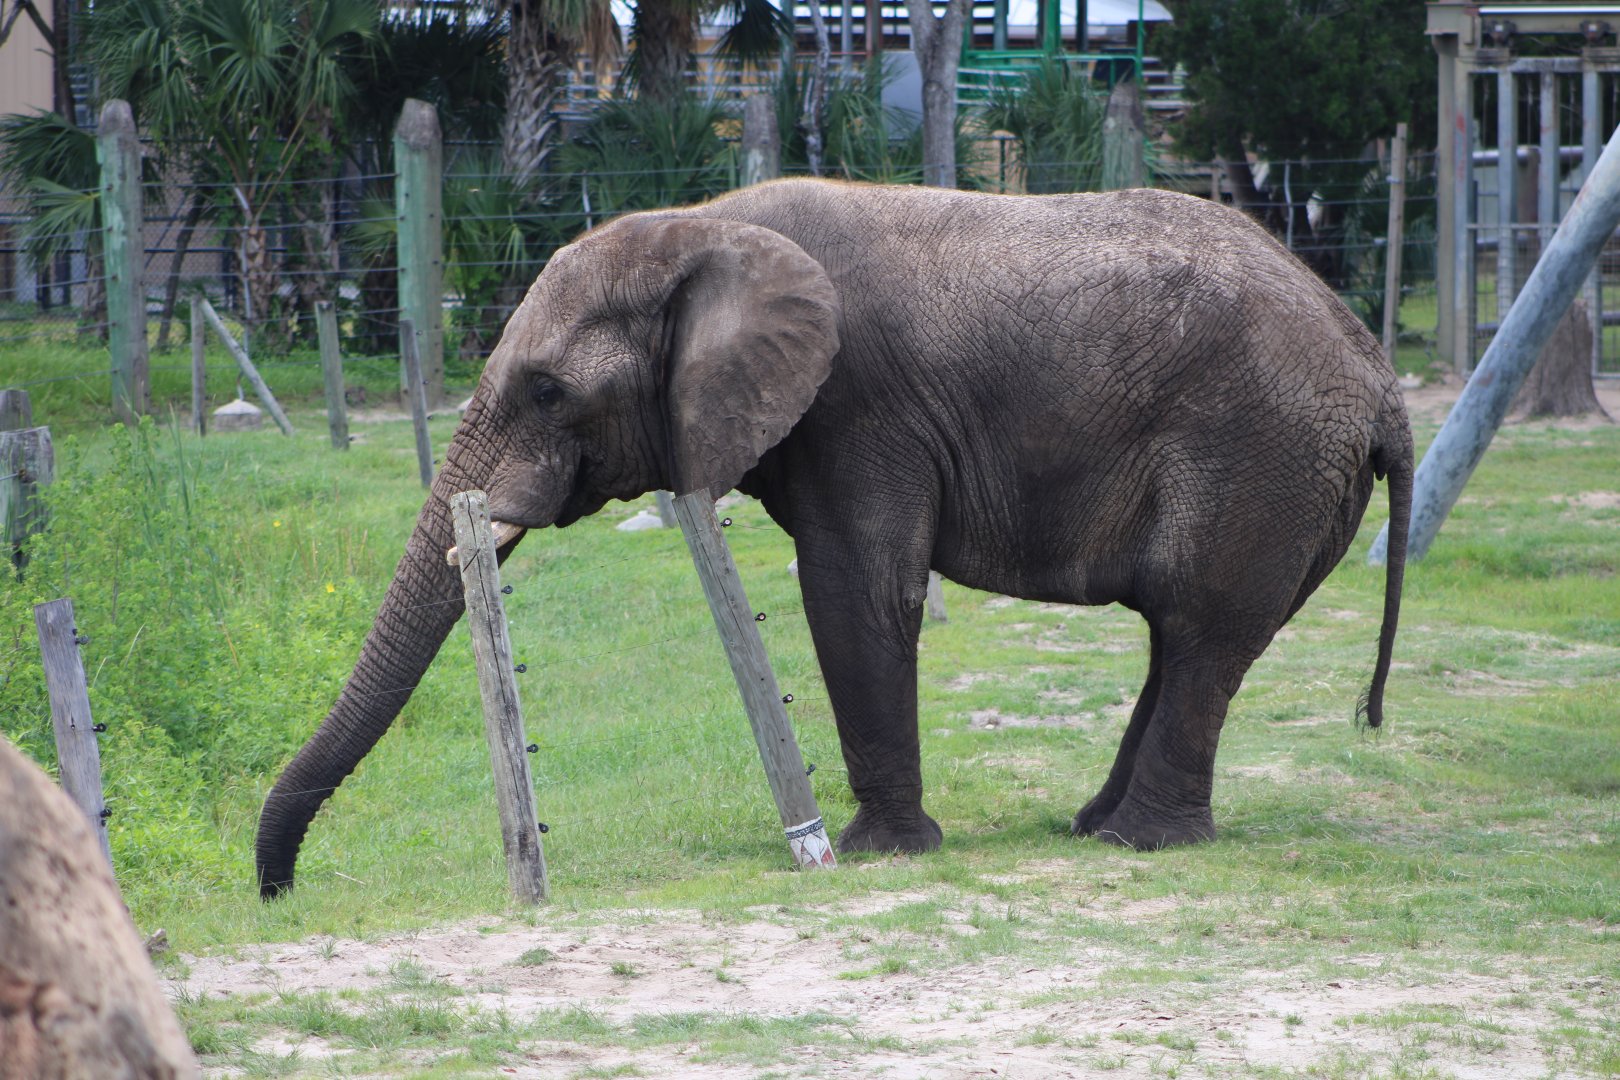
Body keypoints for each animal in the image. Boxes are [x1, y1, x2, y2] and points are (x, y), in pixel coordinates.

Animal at [256, 179, 1412, 896]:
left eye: (546, 391)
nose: (280, 893)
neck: (703, 228)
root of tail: (1381, 380)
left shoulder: (859, 405)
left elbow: (858, 592)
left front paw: (878, 857)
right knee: (1183, 634)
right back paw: (1095, 827)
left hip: (1260, 452)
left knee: (1202, 626)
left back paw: (1137, 841)